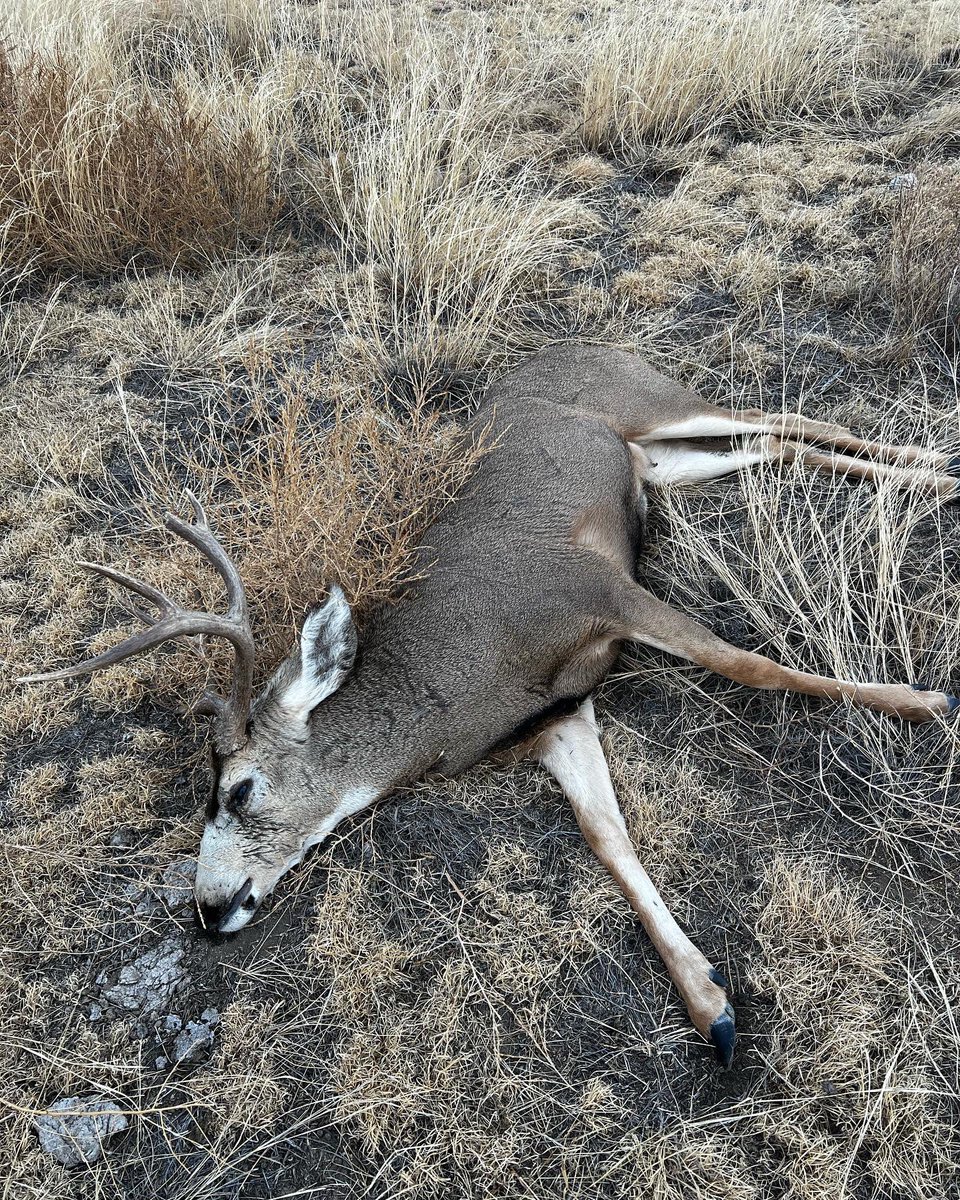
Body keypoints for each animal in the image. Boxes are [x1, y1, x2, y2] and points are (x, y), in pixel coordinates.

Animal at [20, 345, 960, 1068]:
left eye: (239, 788)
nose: (211, 909)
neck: (459, 687)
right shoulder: (556, 718)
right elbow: (607, 839)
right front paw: (710, 1006)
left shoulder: (593, 588)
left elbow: (749, 663)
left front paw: (917, 701)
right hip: (657, 461)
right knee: (773, 445)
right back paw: (928, 474)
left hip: (654, 403)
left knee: (782, 416)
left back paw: (933, 464)